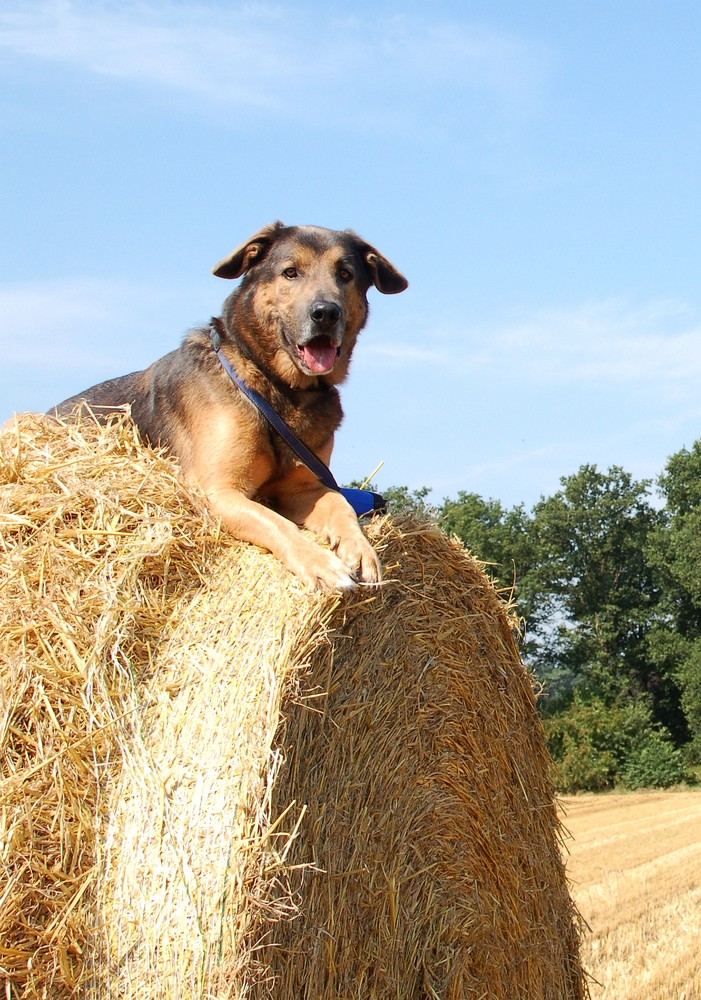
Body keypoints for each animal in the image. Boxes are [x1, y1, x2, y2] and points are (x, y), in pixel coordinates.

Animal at [52, 223, 408, 588]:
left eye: (345, 274)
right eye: (290, 272)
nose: (326, 313)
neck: (277, 386)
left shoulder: (303, 488)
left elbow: (341, 505)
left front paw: (361, 550)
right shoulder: (218, 491)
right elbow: (275, 522)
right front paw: (320, 563)